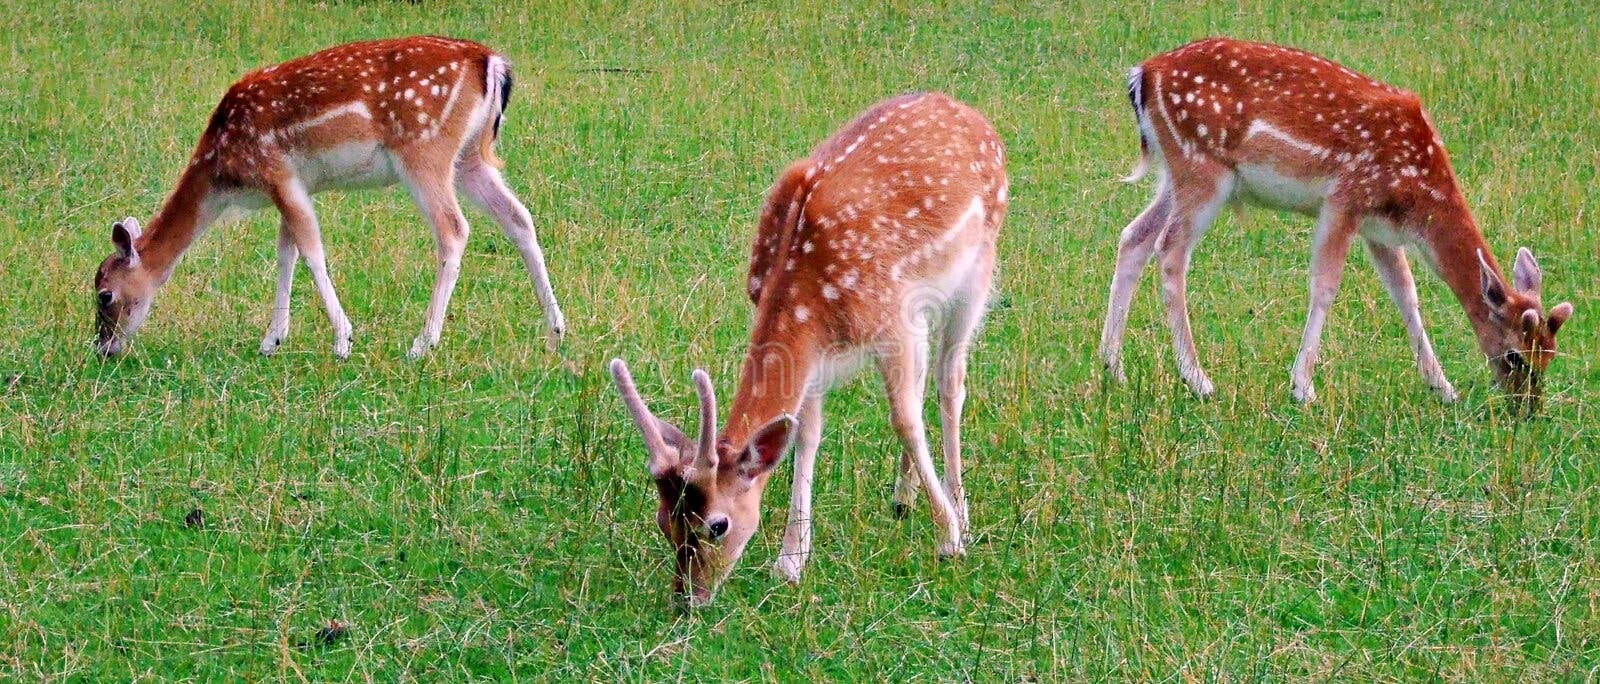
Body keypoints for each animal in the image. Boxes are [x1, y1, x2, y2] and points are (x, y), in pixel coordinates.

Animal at [92, 36, 569, 357]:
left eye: (104, 295)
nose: (102, 348)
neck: (224, 170)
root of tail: (492, 63)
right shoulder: (293, 186)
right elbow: (287, 252)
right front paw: (272, 339)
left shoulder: (277, 172)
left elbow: (311, 250)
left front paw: (343, 340)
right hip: (470, 158)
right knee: (519, 217)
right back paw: (555, 332)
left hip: (424, 149)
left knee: (454, 229)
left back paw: (422, 343)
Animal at [604, 92, 1004, 610]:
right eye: (662, 522)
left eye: (717, 525)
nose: (687, 599)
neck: (810, 298)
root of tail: (969, 112)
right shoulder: (816, 354)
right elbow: (806, 435)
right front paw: (791, 560)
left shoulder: (892, 319)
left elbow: (904, 419)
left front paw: (948, 540)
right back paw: (903, 499)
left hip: (979, 265)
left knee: (949, 382)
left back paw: (961, 513)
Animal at [1100, 37, 1574, 405]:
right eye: (1515, 355)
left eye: (1550, 355)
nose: (1528, 409)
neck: (1417, 195)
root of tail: (1142, 74)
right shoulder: (1345, 199)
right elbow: (1326, 286)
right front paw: (1302, 387)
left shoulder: (1381, 231)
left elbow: (1407, 295)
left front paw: (1443, 388)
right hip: (1202, 167)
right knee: (1170, 250)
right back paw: (1198, 379)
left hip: (1175, 173)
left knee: (1134, 236)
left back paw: (1112, 367)